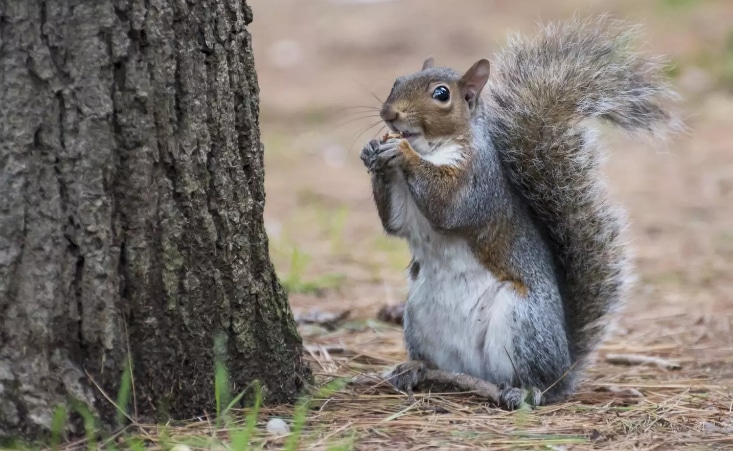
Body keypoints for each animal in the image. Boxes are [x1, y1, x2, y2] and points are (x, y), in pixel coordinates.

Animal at [360, 15, 680, 410]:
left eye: (441, 94)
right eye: (396, 81)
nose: (389, 114)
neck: (432, 148)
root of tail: (565, 367)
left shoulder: (478, 181)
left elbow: (448, 205)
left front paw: (401, 152)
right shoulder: (405, 208)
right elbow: (395, 223)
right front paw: (373, 152)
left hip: (522, 321)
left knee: (537, 381)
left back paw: (524, 390)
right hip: (417, 315)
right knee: (438, 362)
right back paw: (415, 368)